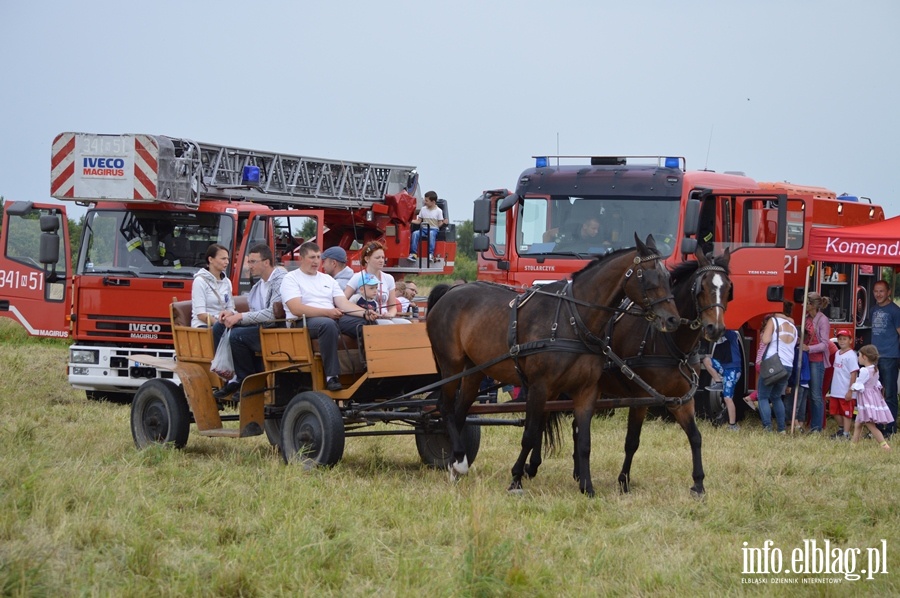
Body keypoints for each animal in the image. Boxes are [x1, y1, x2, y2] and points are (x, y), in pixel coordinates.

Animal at [426, 234, 680, 496]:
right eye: (648, 277)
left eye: (668, 277)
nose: (673, 319)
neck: (574, 319)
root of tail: (450, 291)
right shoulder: (539, 387)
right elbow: (529, 434)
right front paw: (516, 479)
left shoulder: (586, 390)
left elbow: (584, 440)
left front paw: (587, 486)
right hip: (451, 365)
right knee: (445, 407)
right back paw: (457, 459)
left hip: (474, 370)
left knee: (460, 412)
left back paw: (456, 464)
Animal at [568, 247, 732, 496]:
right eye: (701, 288)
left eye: (728, 288)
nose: (716, 329)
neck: (671, 342)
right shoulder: (640, 398)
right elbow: (632, 441)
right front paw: (624, 481)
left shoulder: (681, 399)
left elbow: (695, 437)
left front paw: (698, 483)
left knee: (577, 425)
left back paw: (579, 473)